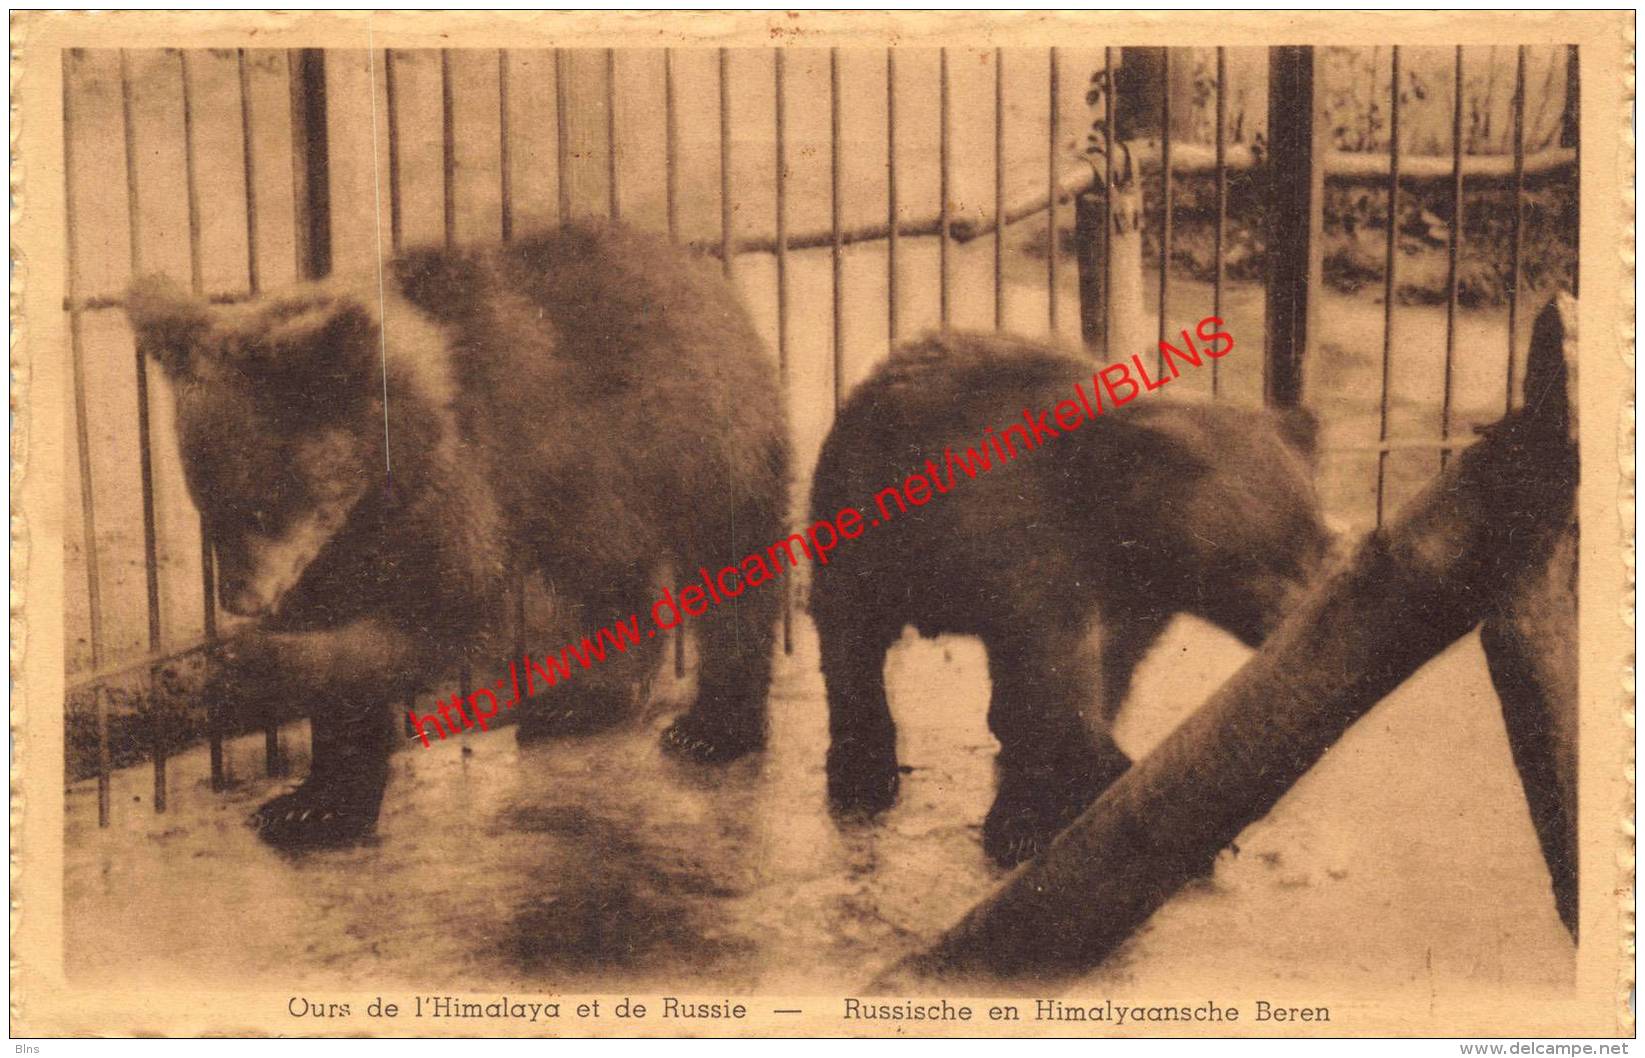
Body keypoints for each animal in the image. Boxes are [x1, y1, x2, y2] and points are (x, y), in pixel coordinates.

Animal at [128, 218, 783, 849]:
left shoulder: (455, 487)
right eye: (208, 509)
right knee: (608, 582)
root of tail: (697, 263)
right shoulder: (334, 553)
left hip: (692, 437)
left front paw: (255, 669)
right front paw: (313, 805)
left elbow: (442, 616)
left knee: (731, 567)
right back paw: (579, 700)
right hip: (590, 496)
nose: (242, 599)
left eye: (263, 506)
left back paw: (711, 728)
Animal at [809, 330, 1335, 868]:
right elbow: (1058, 685)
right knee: (851, 635)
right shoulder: (1038, 551)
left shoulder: (1135, 600)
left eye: (1320, 545)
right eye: (1263, 559)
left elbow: (1099, 676)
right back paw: (862, 771)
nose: (1301, 615)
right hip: (864, 524)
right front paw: (1040, 812)